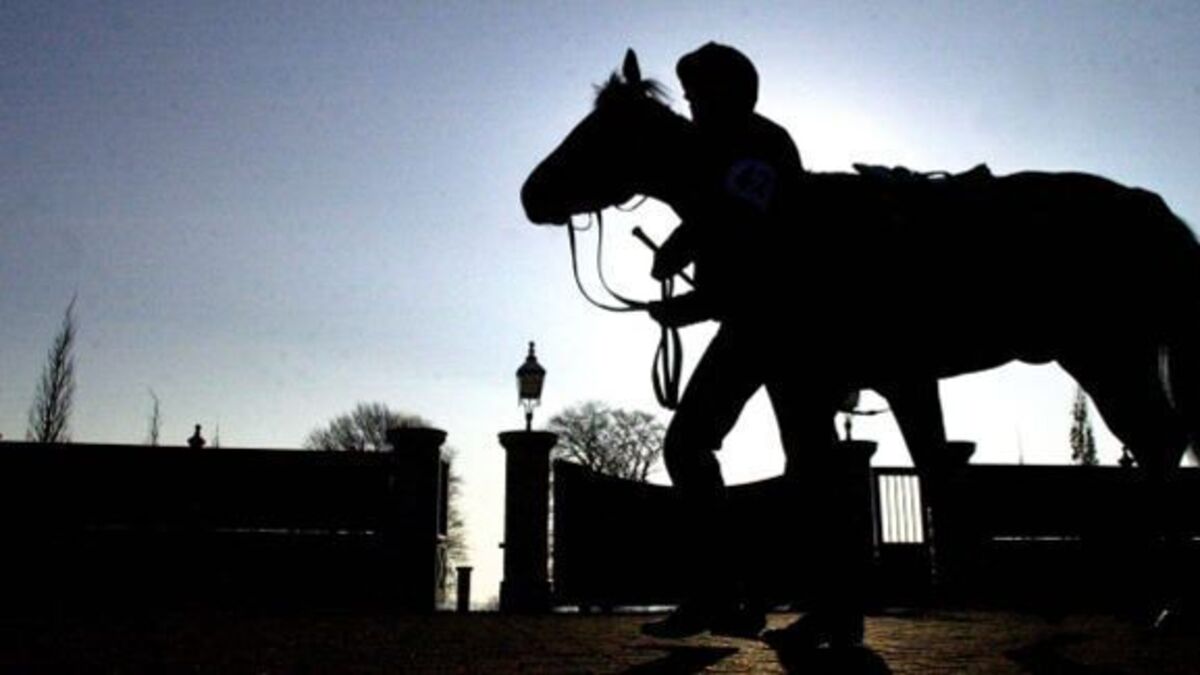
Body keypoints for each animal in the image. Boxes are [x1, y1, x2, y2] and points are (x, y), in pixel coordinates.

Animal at [522, 49, 1200, 486]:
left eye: (602, 131)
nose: (532, 193)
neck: (789, 222)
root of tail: (1150, 204)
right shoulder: (816, 377)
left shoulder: (880, 376)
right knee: (1158, 440)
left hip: (1104, 352)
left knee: (1157, 441)